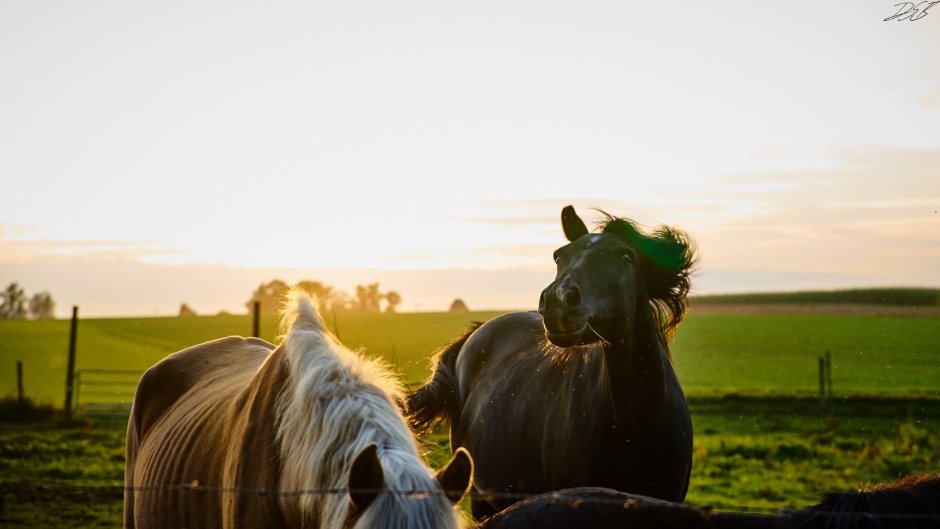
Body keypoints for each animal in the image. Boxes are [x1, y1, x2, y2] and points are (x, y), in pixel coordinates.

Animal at [408, 205, 696, 519]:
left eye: (626, 256)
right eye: (560, 255)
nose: (559, 302)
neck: (637, 426)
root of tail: (478, 330)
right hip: (480, 497)